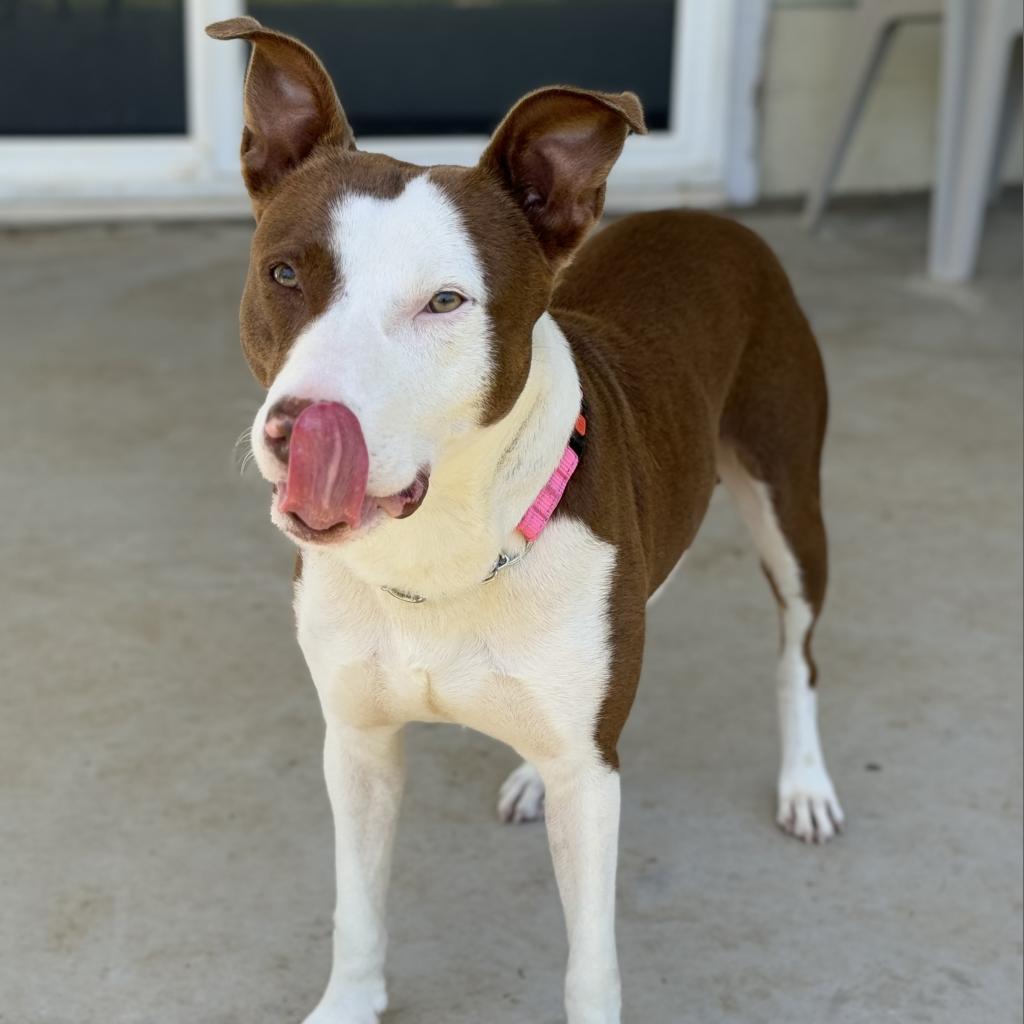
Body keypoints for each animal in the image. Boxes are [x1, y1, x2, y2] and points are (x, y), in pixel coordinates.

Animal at [209, 18, 847, 1024]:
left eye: (445, 301)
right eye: (283, 274)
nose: (294, 430)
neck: (437, 560)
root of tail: (712, 219)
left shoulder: (592, 784)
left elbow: (591, 962)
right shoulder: (357, 744)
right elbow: (358, 908)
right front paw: (349, 1000)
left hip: (791, 506)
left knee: (797, 652)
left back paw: (806, 784)